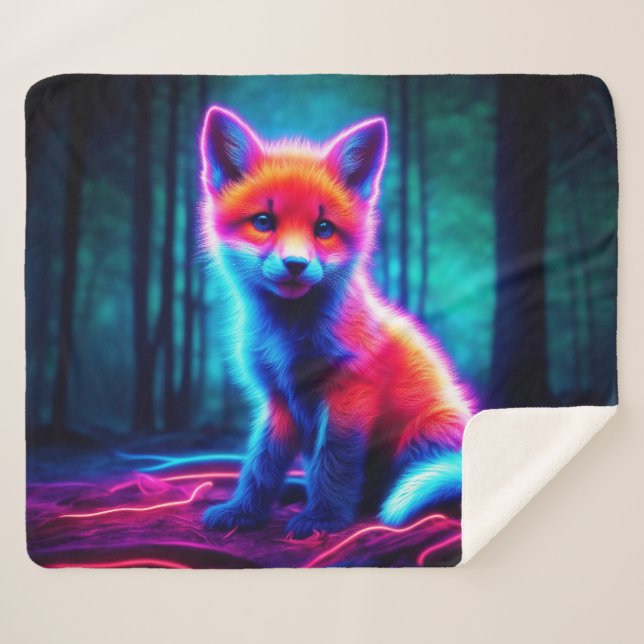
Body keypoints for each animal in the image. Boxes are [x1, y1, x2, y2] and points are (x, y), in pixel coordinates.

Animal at [199, 105, 473, 539]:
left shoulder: (350, 391)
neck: (288, 339)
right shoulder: (279, 399)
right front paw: (243, 512)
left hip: (421, 436)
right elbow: (261, 464)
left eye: (323, 229)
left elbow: (336, 461)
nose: (296, 264)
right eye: (264, 222)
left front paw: (323, 519)